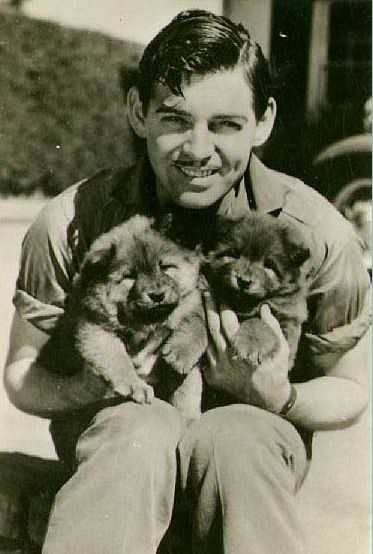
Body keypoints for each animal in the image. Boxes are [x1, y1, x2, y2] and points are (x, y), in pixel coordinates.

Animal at [38, 215, 208, 418]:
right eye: (130, 276)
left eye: (165, 267)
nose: (157, 295)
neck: (146, 321)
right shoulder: (95, 328)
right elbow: (116, 357)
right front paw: (135, 386)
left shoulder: (191, 299)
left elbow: (197, 321)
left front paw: (181, 353)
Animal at [202, 213, 310, 374]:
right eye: (234, 254)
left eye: (269, 265)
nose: (243, 281)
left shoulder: (287, 319)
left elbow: (258, 321)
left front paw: (252, 344)